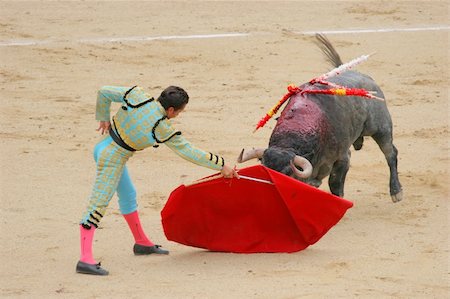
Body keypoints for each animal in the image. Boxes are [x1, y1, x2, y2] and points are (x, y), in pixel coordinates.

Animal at [241, 33, 402, 204]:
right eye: (263, 170)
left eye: (287, 173)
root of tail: (366, 78)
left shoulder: (342, 157)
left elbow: (335, 183)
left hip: (381, 128)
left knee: (390, 152)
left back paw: (396, 192)